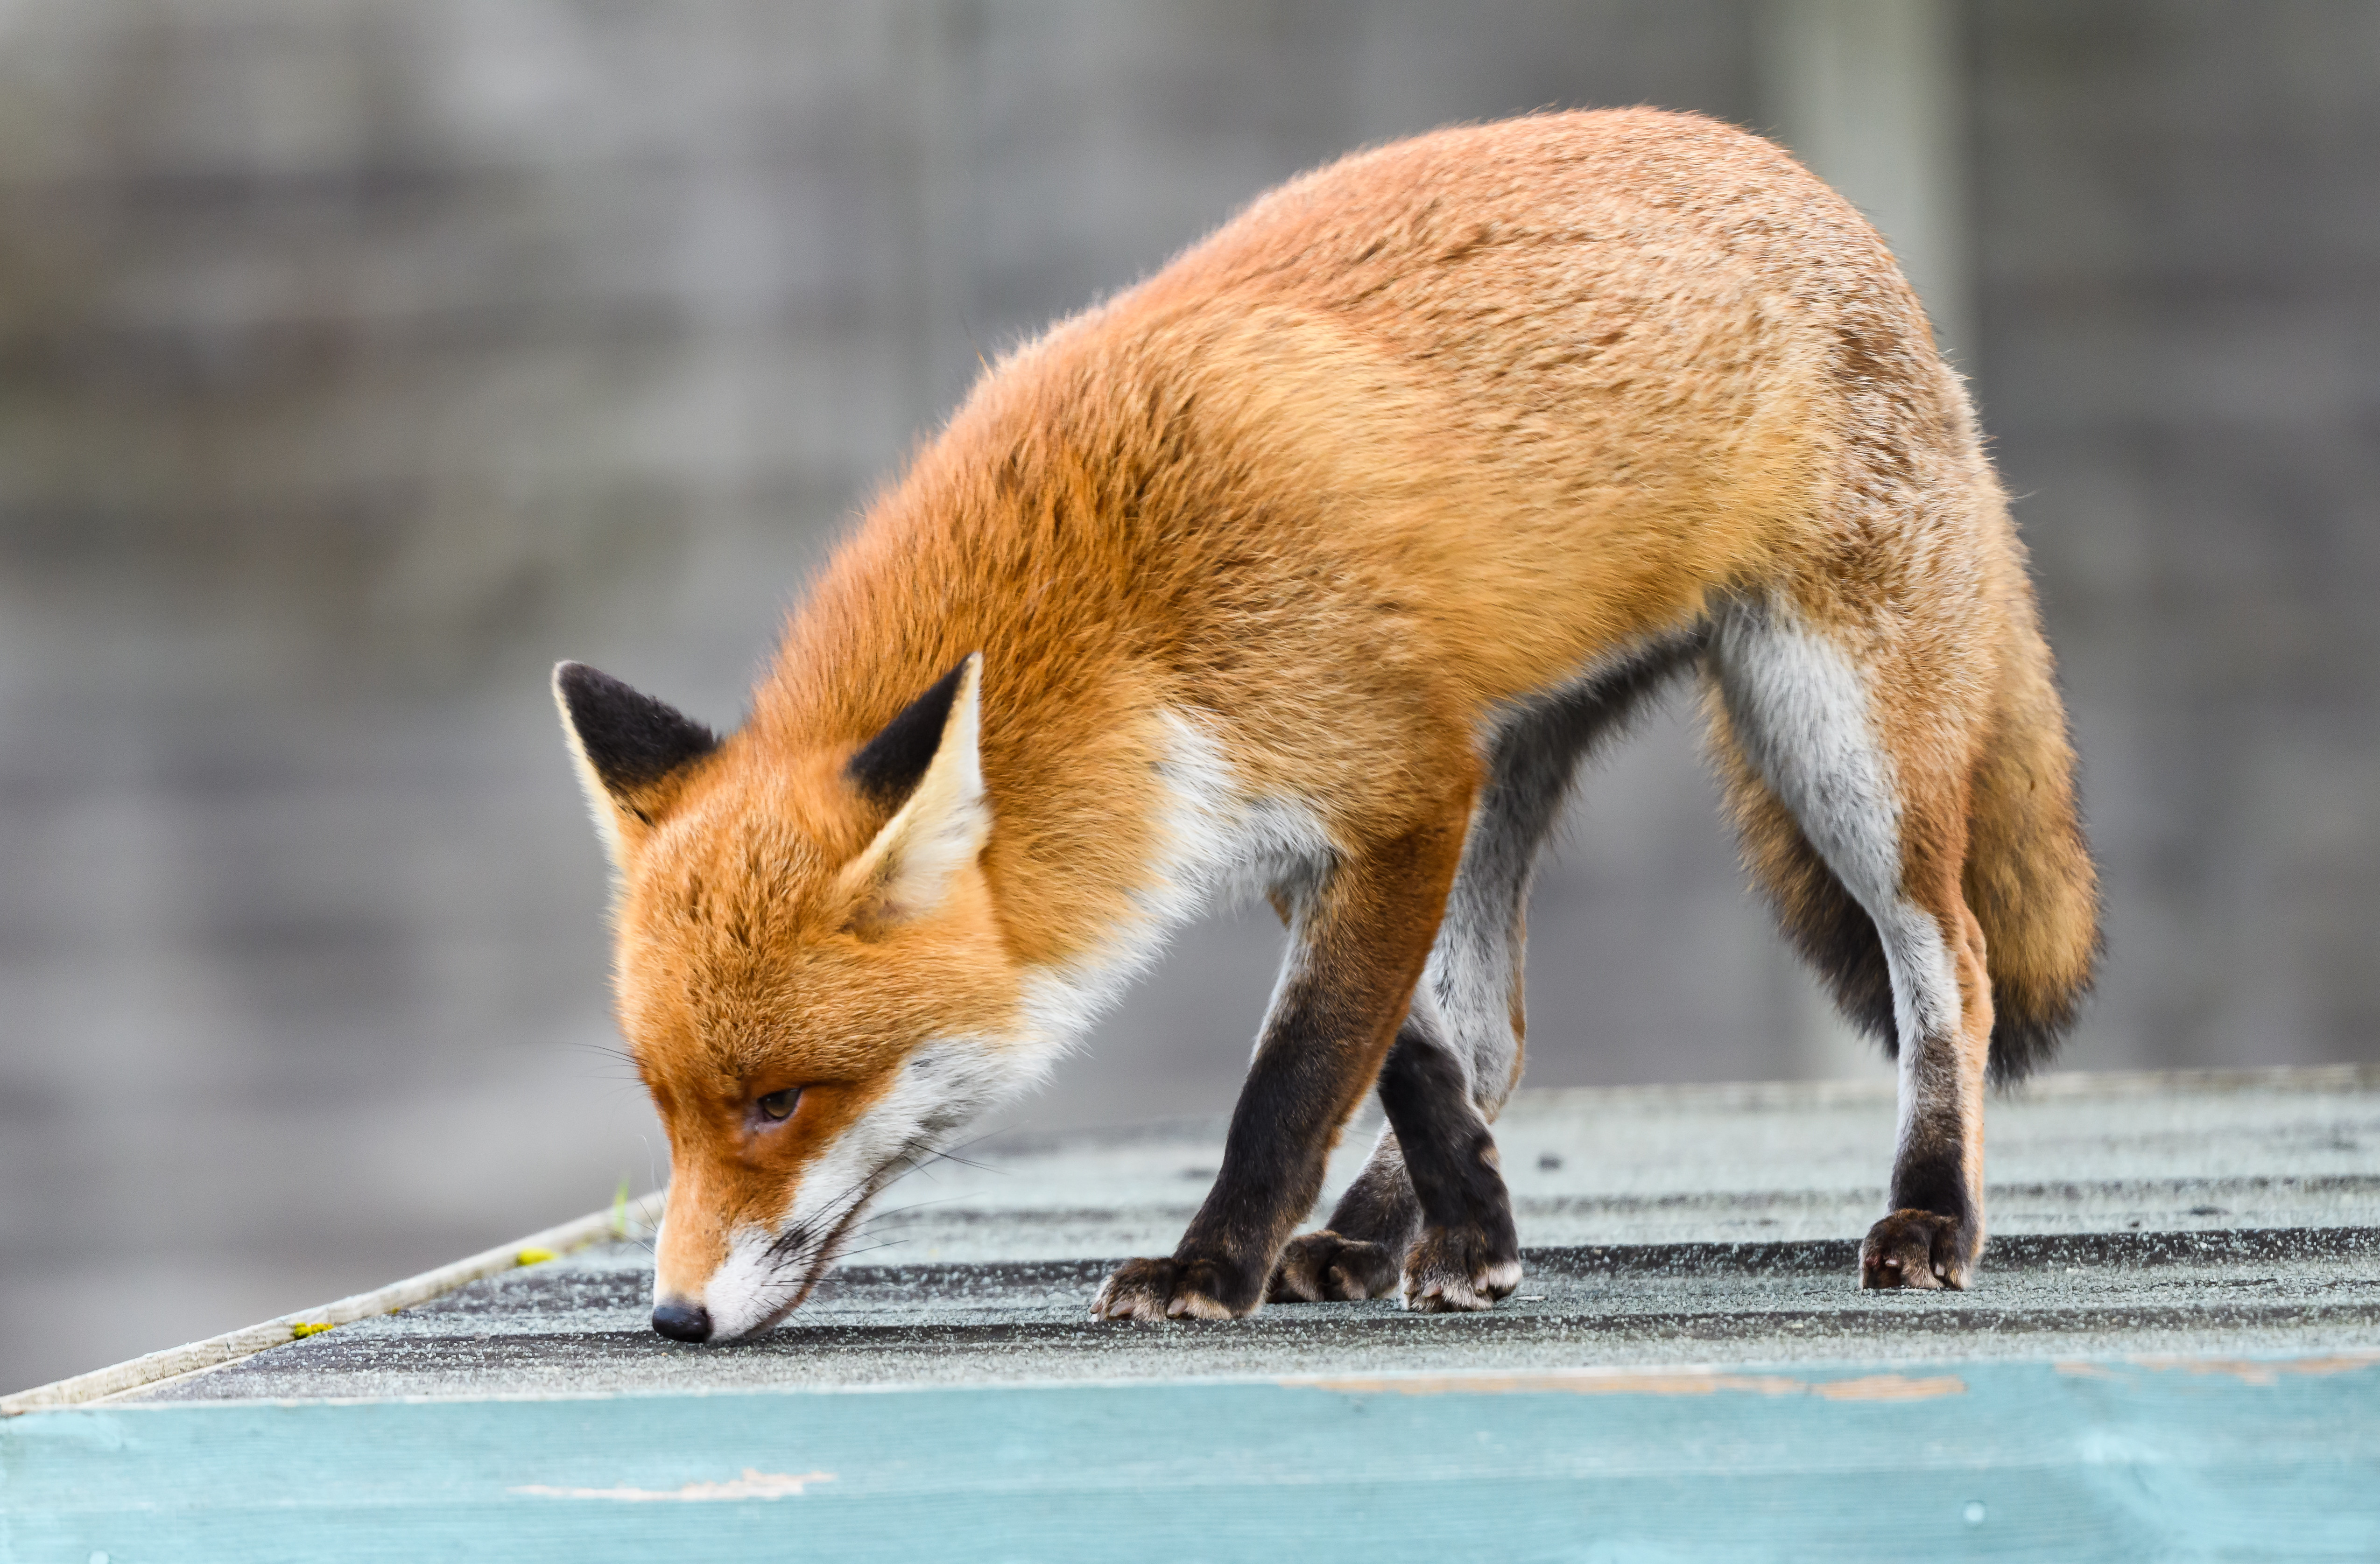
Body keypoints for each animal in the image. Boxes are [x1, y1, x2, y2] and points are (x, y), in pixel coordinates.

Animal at [556, 106, 2104, 1342]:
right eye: (666, 1105)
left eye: (778, 1102)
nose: (674, 1316)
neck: (1124, 608)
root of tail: (1821, 194)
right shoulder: (1319, 824)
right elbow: (1403, 1054)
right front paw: (1472, 1231)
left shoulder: (1396, 791)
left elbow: (1292, 1080)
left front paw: (1206, 1268)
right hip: (1515, 765)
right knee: (1490, 1033)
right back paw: (1373, 1235)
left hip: (1835, 743)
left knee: (1952, 963)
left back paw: (1931, 1212)